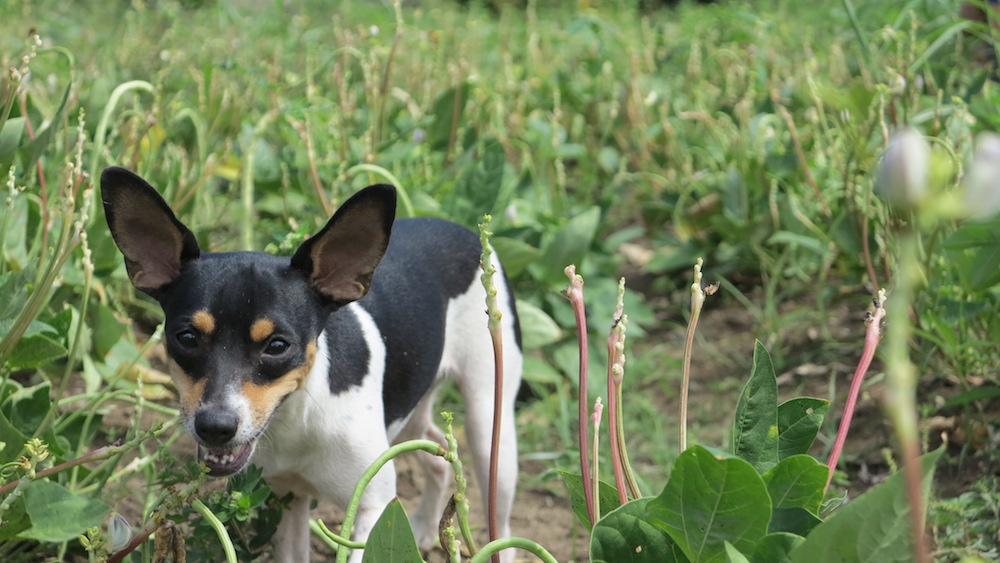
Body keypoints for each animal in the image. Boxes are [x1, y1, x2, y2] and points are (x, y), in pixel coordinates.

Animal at [101, 167, 524, 563]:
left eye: (277, 346)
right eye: (186, 338)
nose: (215, 427)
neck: (298, 418)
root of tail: (458, 228)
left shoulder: (373, 508)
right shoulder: (286, 500)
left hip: (490, 429)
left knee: (500, 521)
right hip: (410, 409)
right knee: (439, 458)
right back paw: (421, 528)